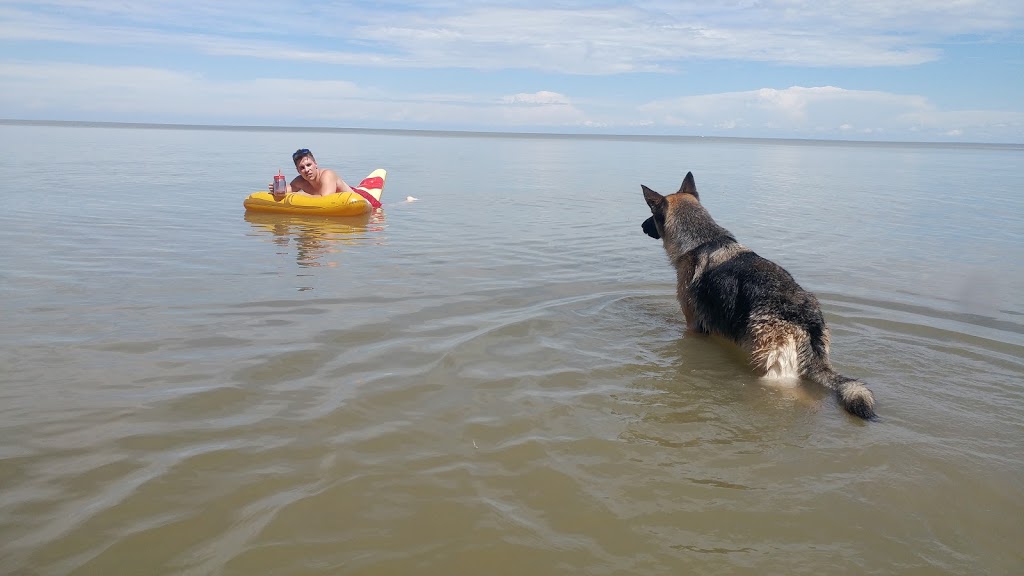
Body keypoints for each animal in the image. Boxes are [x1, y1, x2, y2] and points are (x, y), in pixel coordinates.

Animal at [638, 170, 872, 416]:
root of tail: (807, 319)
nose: (641, 226)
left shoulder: (692, 325)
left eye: (651, 214)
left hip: (770, 370)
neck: (702, 240)